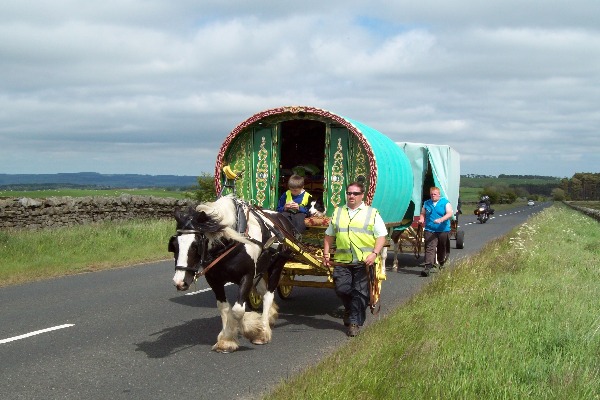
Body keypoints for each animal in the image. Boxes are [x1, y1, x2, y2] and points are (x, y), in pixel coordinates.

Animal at [169, 195, 296, 352]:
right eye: (174, 245)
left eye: (195, 245)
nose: (179, 282)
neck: (232, 241)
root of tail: (282, 218)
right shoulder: (214, 280)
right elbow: (224, 308)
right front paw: (227, 339)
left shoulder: (247, 277)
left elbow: (237, 310)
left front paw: (252, 329)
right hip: (261, 268)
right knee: (262, 290)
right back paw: (270, 316)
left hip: (277, 266)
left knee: (268, 295)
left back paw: (264, 330)